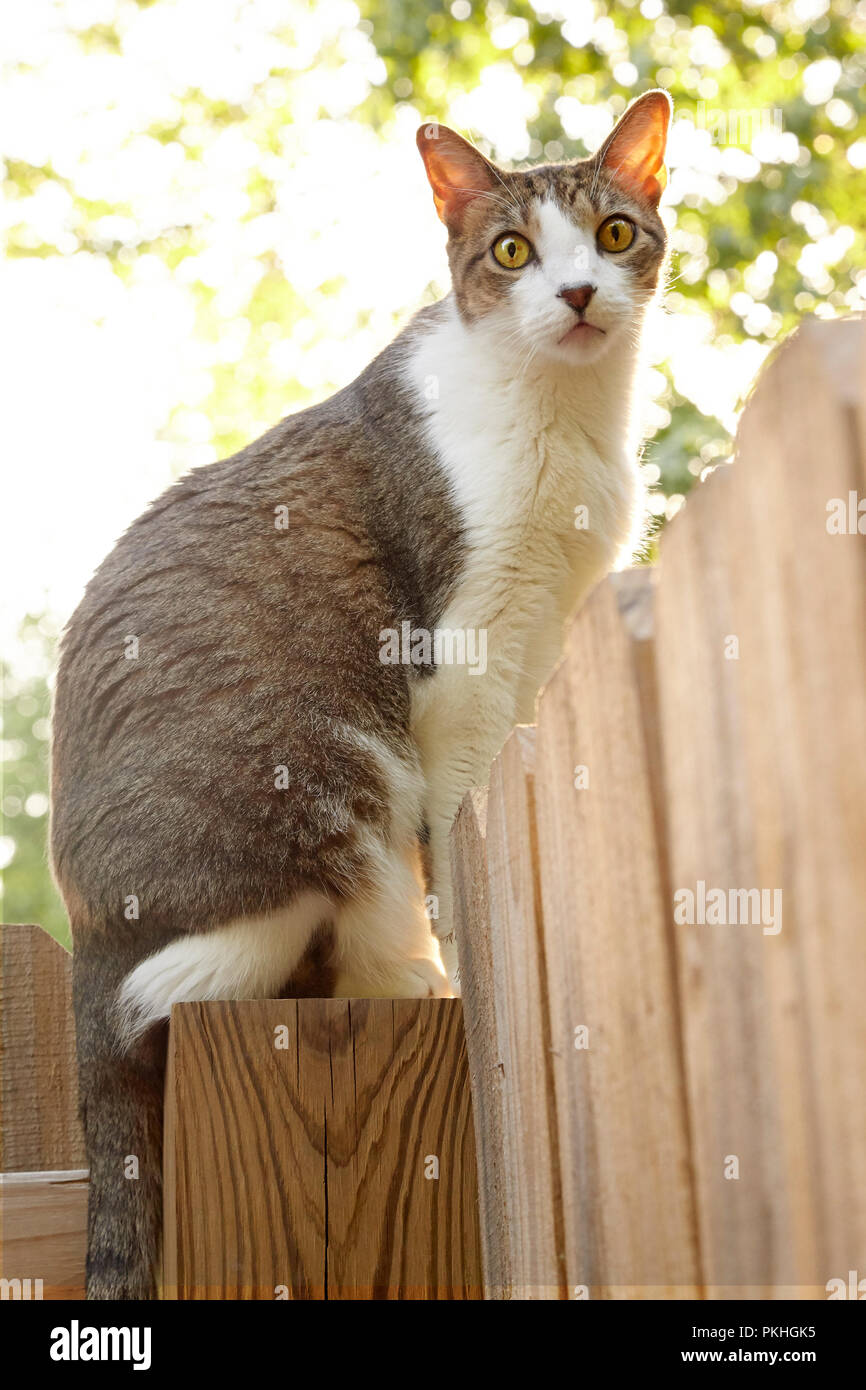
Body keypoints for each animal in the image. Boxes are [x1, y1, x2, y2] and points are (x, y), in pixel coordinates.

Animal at [50, 86, 675, 1295]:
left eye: (614, 232)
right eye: (513, 251)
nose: (576, 294)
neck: (563, 416)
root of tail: (82, 932)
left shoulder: (536, 645)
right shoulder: (460, 658)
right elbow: (457, 832)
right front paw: (466, 952)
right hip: (324, 759)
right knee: (224, 963)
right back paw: (411, 977)